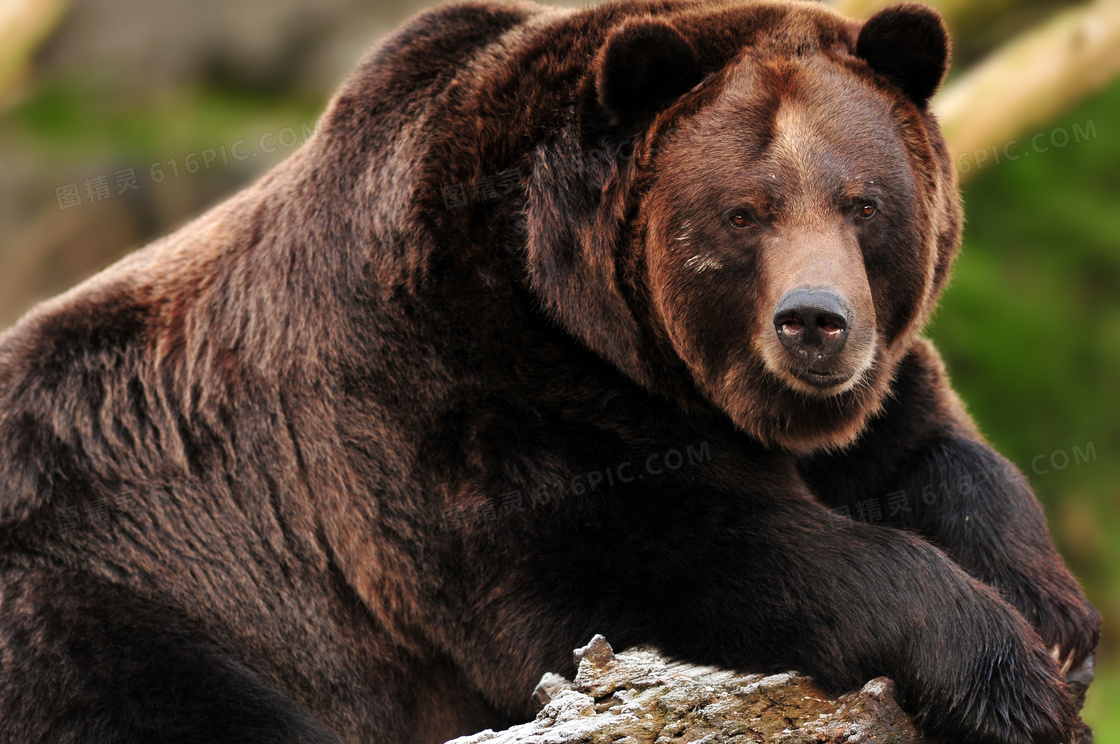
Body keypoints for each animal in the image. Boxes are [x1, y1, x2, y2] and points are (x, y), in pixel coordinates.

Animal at [0, 1, 1102, 744]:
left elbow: (936, 452)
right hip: (103, 596)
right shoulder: (457, 390)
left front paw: (1055, 619)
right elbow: (664, 557)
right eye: (742, 212)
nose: (813, 324)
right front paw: (1004, 672)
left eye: (862, 201)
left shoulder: (858, 389)